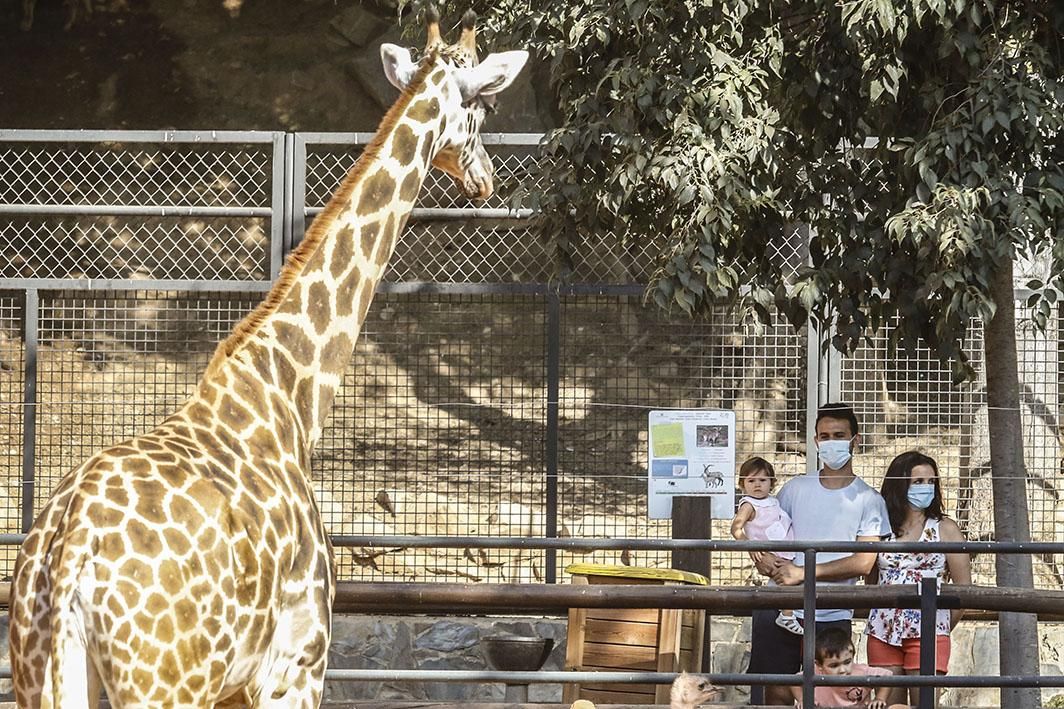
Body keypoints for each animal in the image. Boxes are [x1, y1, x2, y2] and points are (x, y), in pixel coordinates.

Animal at [7, 11, 523, 706]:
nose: (488, 178)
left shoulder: (243, 682)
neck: (290, 393)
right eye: (485, 106)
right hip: (165, 684)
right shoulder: (298, 665)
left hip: (46, 674)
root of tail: (66, 565)